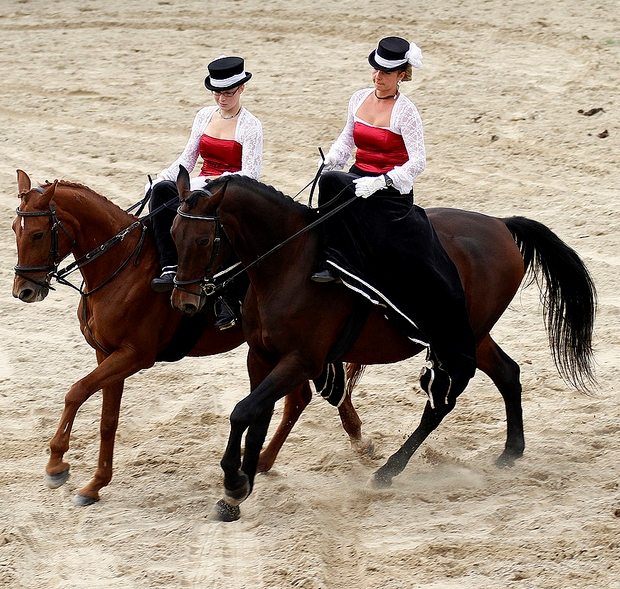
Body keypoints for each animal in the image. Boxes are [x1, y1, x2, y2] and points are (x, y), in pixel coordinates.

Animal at [12, 169, 370, 506]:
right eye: (15, 229)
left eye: (39, 233)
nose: (23, 291)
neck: (122, 266)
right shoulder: (108, 354)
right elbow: (107, 420)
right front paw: (95, 484)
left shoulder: (133, 356)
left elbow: (76, 392)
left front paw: (56, 464)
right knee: (300, 399)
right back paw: (272, 459)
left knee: (313, 395)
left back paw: (356, 441)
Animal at [170, 167, 596, 520]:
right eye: (174, 234)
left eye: (204, 239)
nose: (183, 302)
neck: (289, 263)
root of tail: (501, 224)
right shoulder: (260, 357)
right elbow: (255, 417)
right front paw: (238, 492)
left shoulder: (302, 361)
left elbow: (242, 412)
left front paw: (234, 483)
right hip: (472, 335)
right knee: (507, 374)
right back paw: (511, 451)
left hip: (456, 340)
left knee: (442, 403)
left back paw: (388, 471)